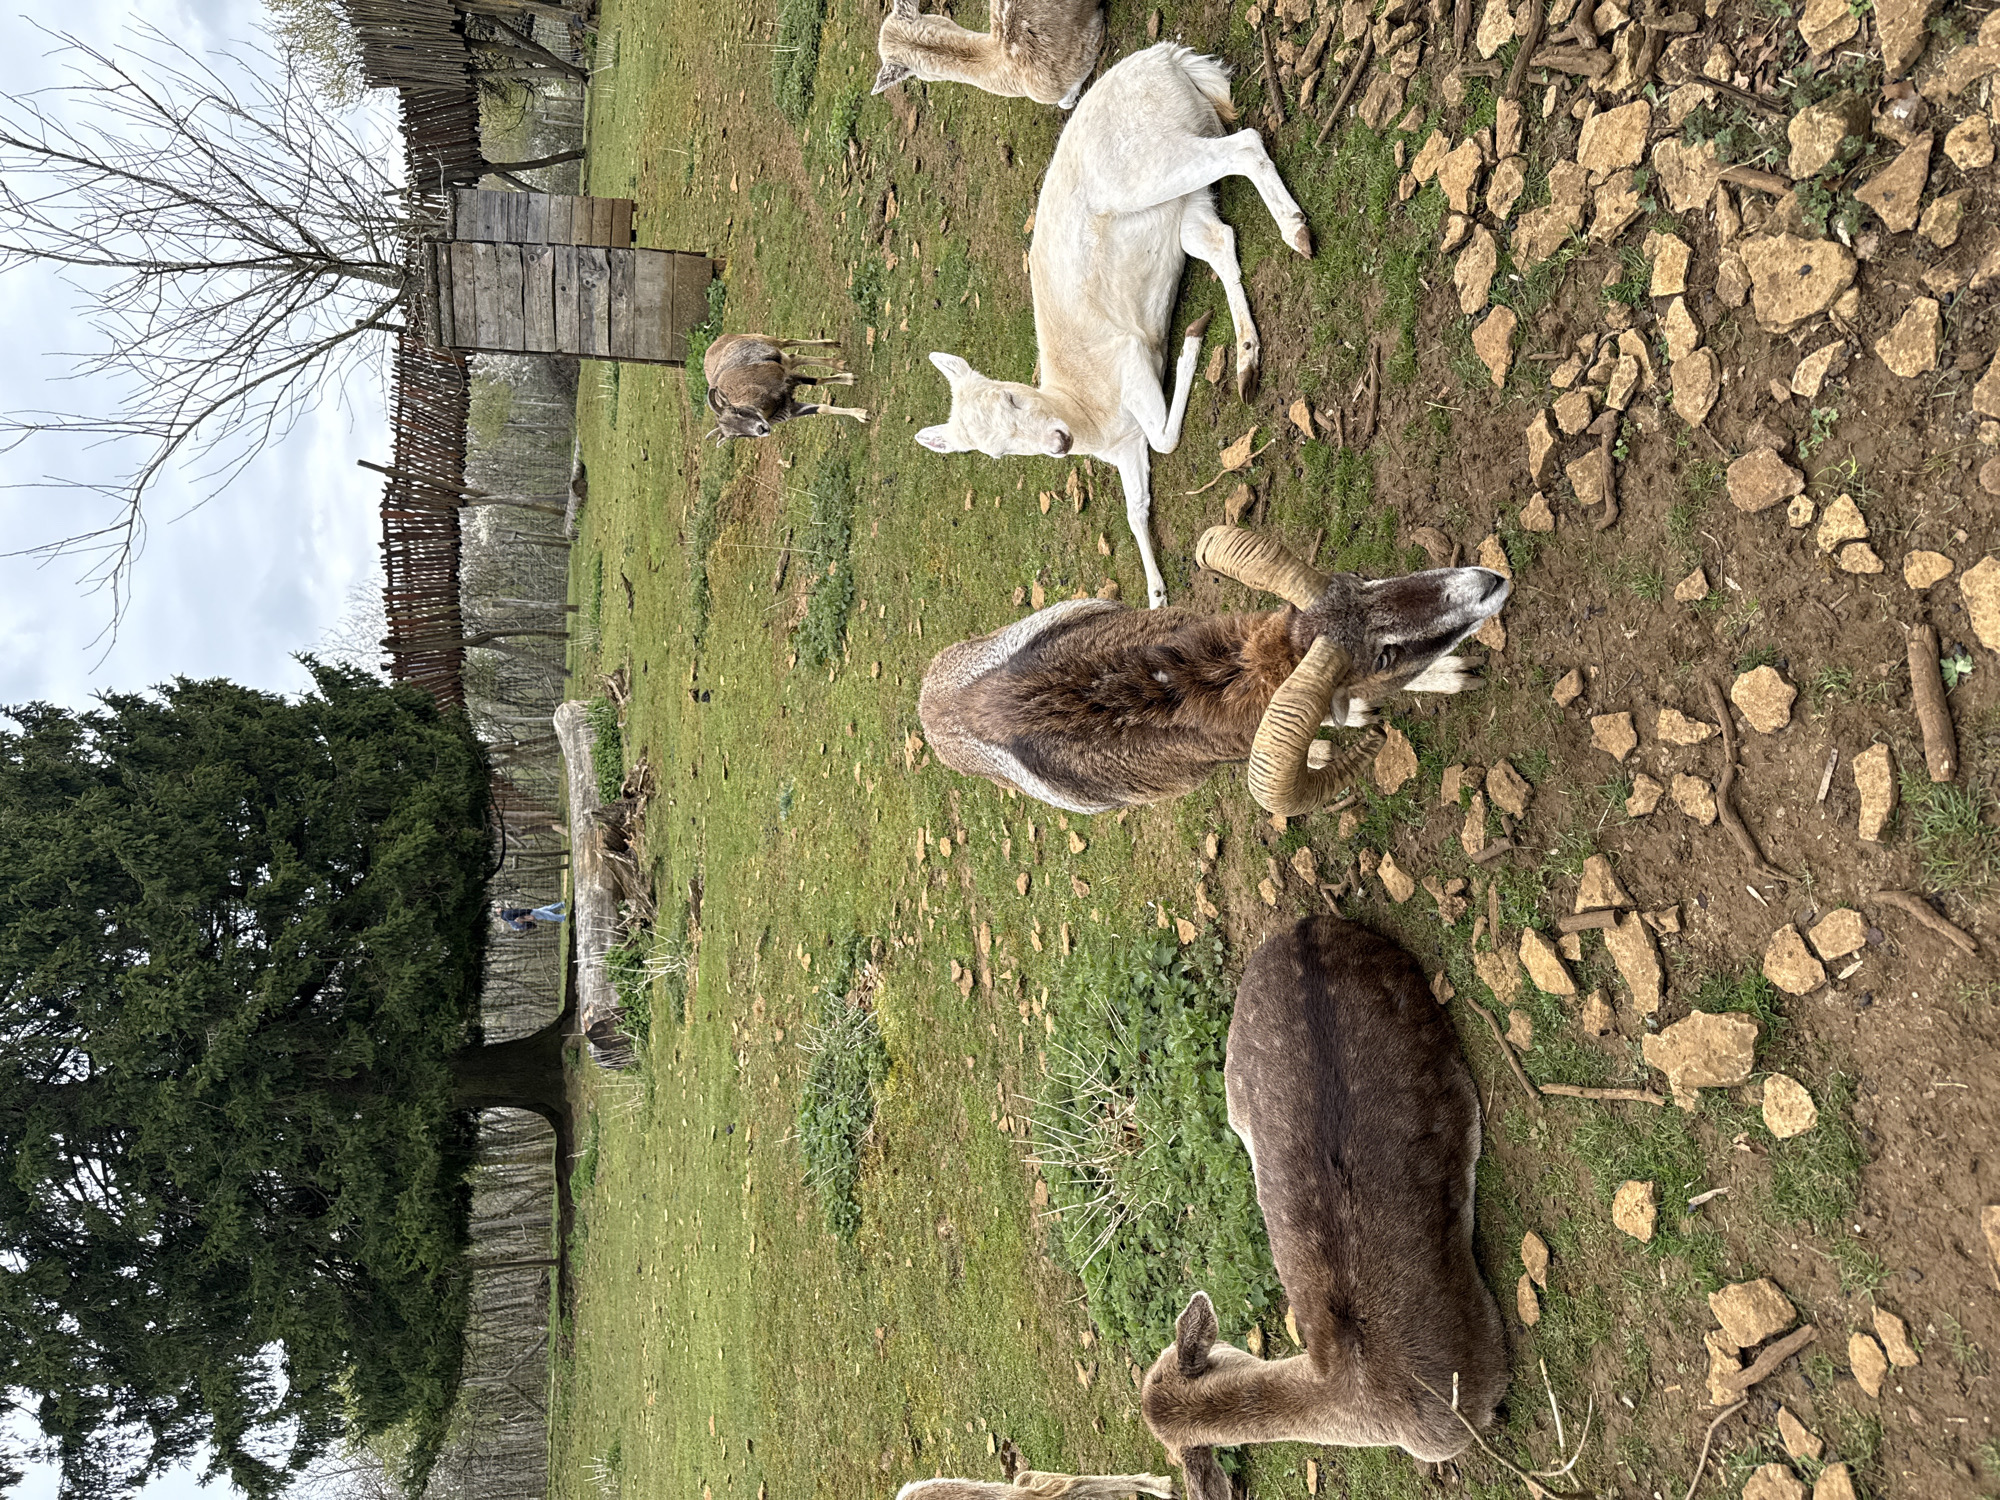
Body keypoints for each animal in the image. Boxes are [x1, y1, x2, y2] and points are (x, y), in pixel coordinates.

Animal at [703, 334, 868, 442]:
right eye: (735, 436)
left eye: (738, 411)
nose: (761, 429)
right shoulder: (790, 410)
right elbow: (823, 409)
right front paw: (862, 415)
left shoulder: (788, 379)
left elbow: (816, 381)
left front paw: (850, 379)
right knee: (794, 358)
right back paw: (838, 362)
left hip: (766, 339)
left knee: (788, 341)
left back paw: (833, 347)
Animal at [913, 42, 1313, 608]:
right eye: (993, 452)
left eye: (1012, 397)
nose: (1058, 444)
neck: (1091, 416)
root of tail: (1170, 58)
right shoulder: (1125, 449)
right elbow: (1135, 509)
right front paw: (1156, 594)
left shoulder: (1129, 359)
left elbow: (1164, 440)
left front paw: (1189, 344)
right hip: (1184, 203)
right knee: (1219, 239)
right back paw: (1246, 361)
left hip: (1149, 164)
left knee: (1244, 143)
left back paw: (1296, 231)